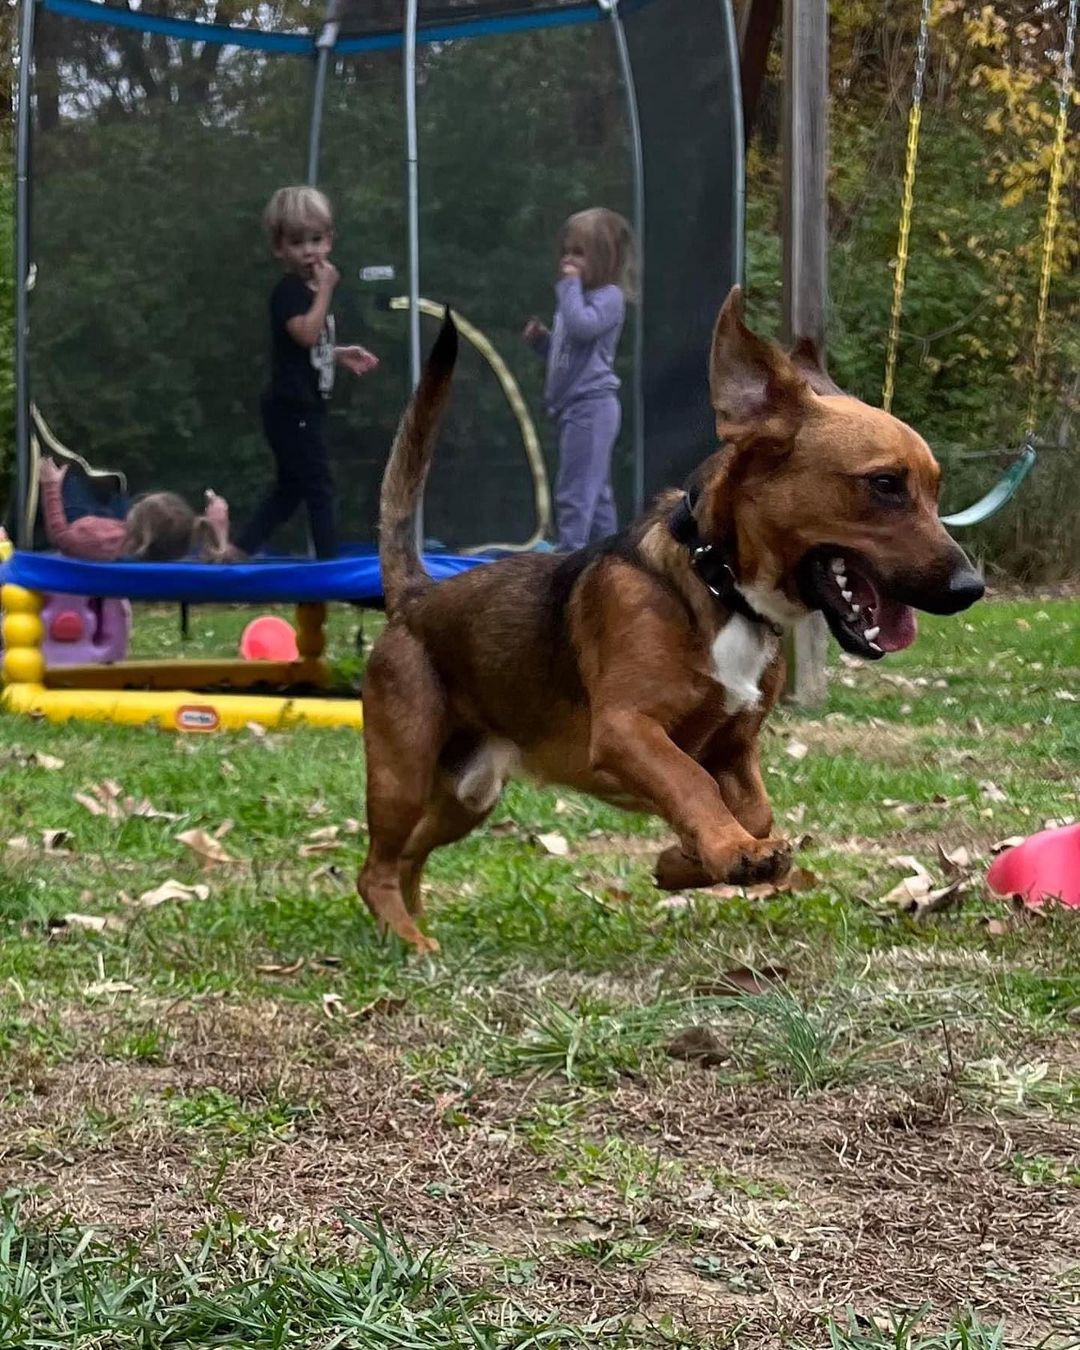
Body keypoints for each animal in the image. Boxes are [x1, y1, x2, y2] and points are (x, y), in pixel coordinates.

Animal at [359, 290, 982, 955]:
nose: (972, 589)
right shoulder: (628, 730)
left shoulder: (734, 749)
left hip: (467, 795)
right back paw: (408, 938)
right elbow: (690, 783)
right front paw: (727, 851)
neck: (720, 588)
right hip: (402, 777)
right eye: (884, 484)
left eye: (935, 491)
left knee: (408, 859)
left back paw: (410, 929)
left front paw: (688, 861)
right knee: (375, 868)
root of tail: (415, 598)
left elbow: (751, 812)